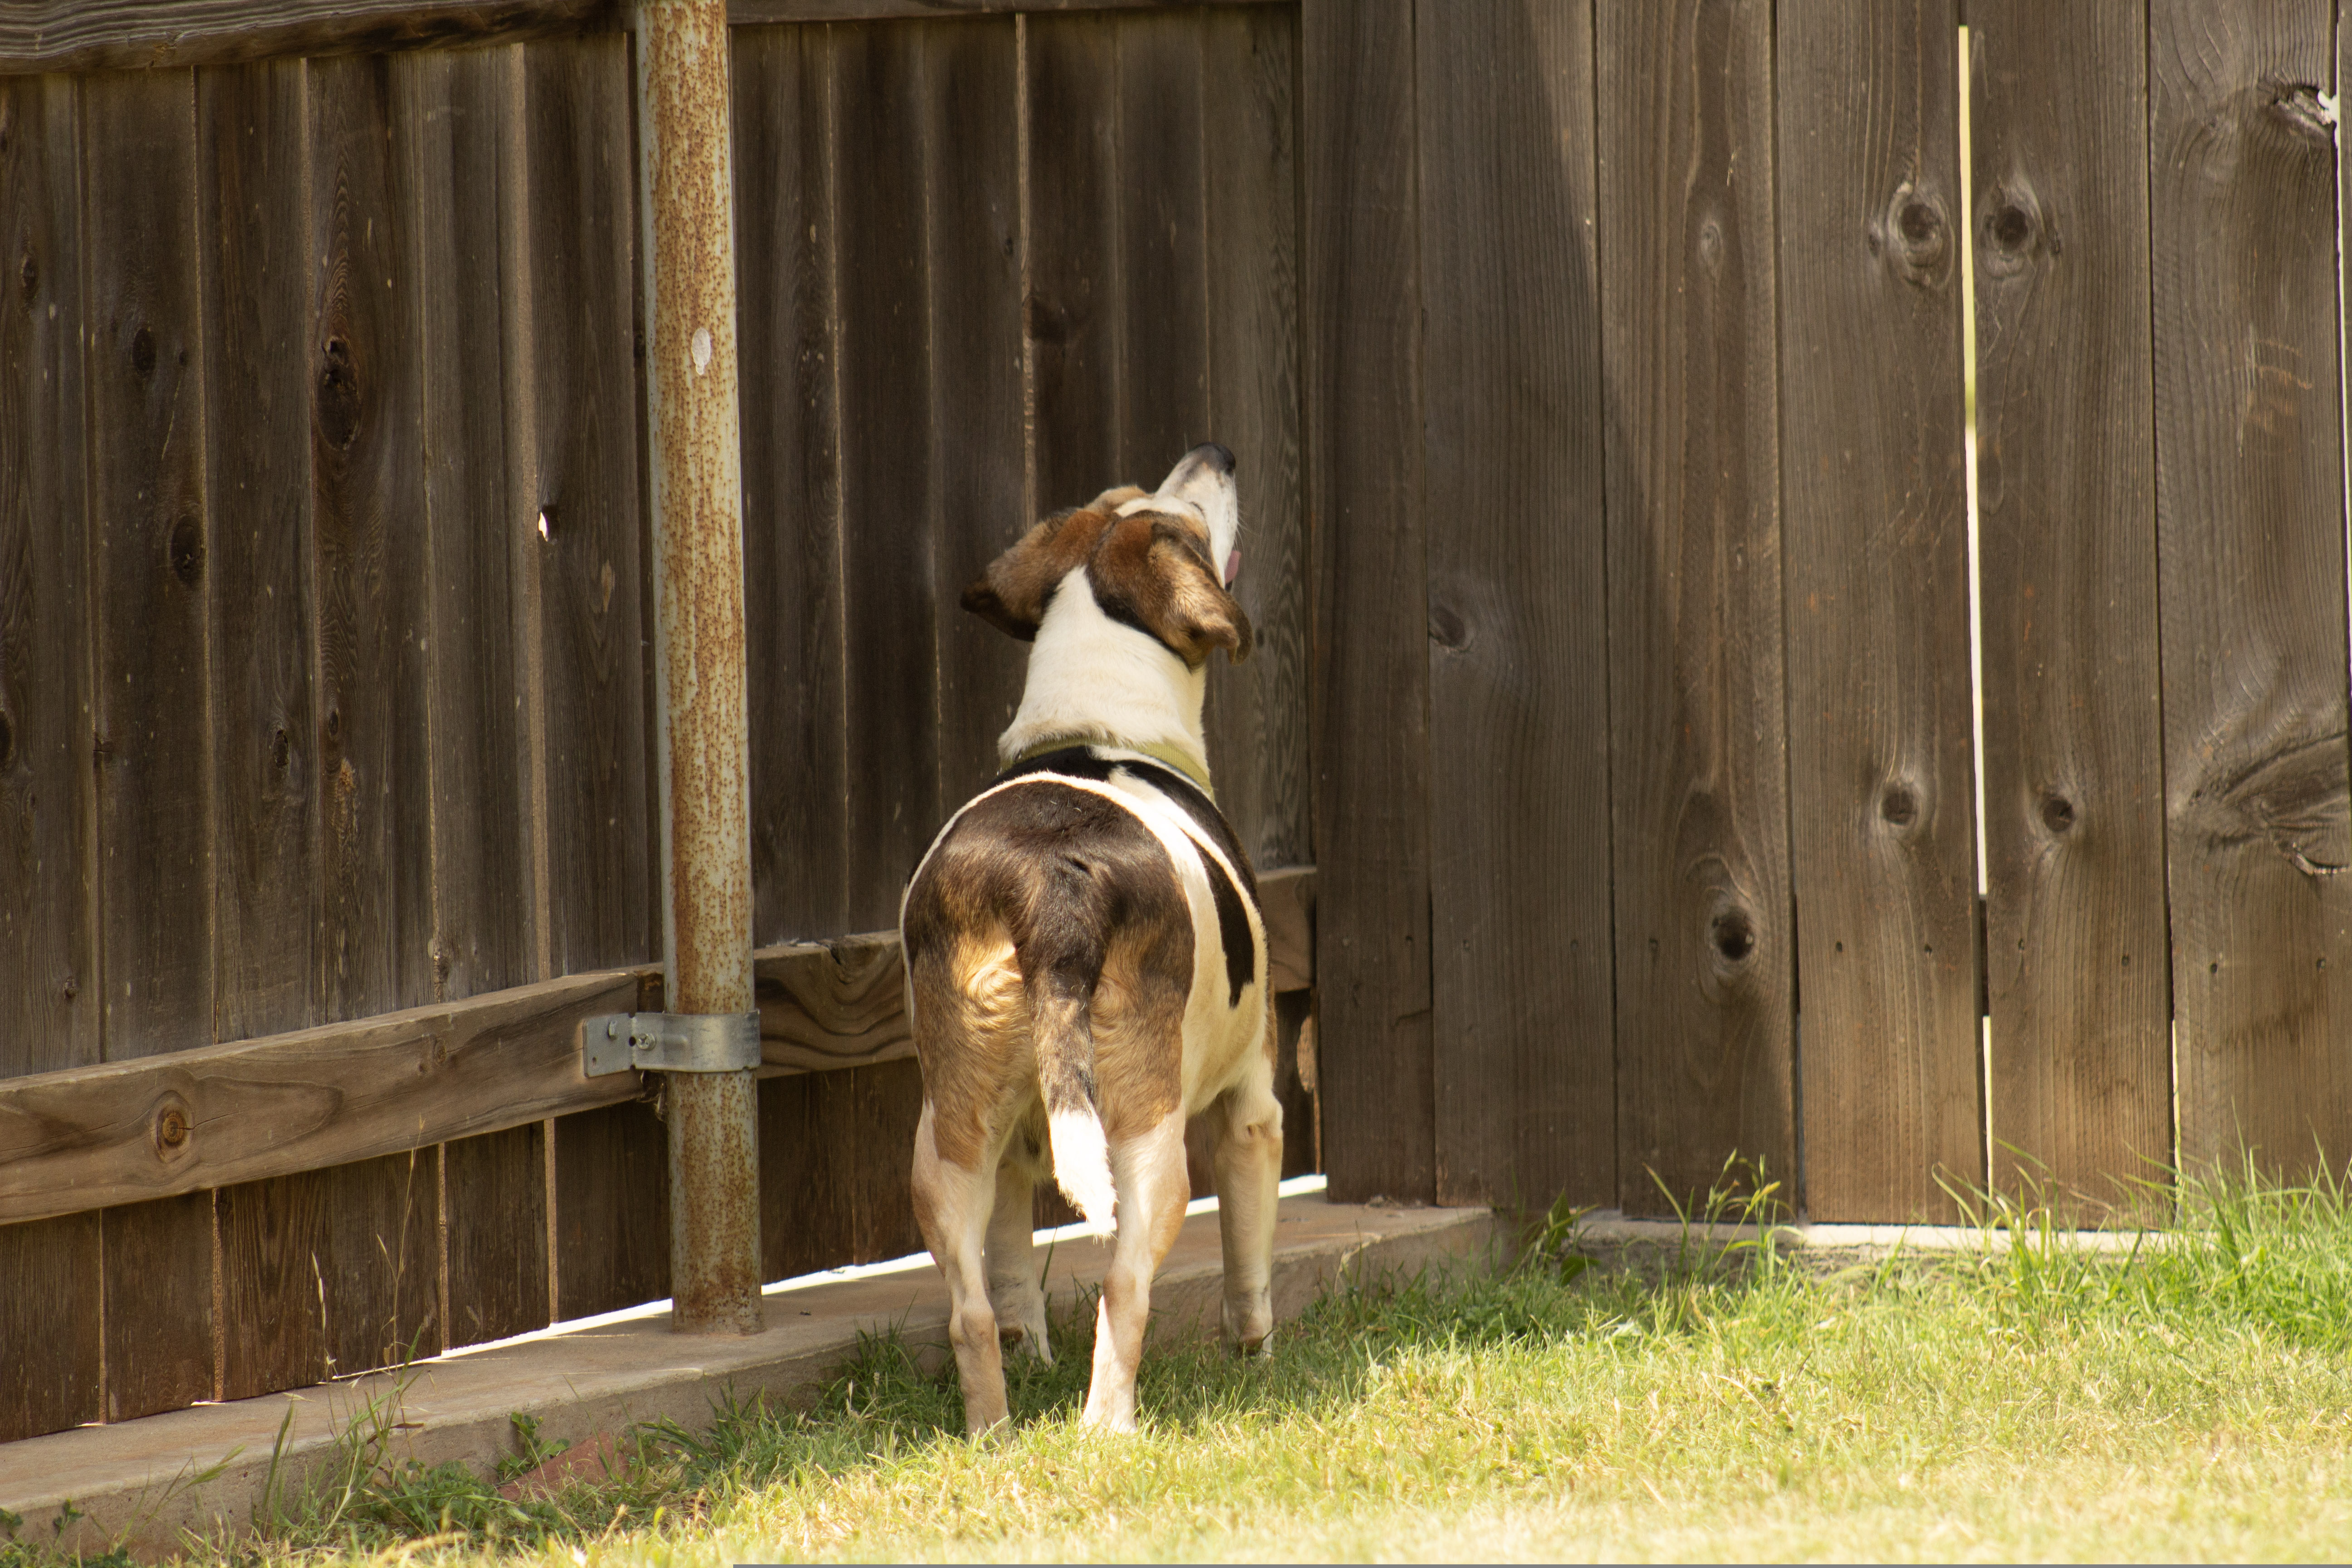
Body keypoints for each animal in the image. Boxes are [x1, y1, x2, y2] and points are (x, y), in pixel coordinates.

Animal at [900, 443, 1282, 1434]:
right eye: (1188, 521)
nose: (1215, 454)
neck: (1095, 723)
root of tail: (1053, 884)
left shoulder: (1012, 1147)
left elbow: (1009, 1281)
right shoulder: (1252, 1106)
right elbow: (1248, 1272)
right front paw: (1258, 1362)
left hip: (949, 1136)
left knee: (970, 1312)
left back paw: (993, 1436)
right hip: (1150, 1143)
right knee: (1125, 1291)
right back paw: (1108, 1431)